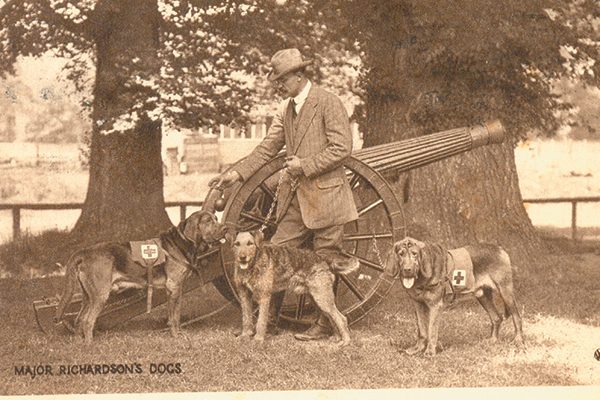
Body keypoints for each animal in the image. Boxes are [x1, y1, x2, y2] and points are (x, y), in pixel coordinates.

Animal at [54, 209, 226, 344]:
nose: (225, 228)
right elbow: (174, 317)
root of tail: (85, 252)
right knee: (88, 321)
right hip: (100, 295)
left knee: (79, 320)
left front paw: (176, 333)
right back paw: (90, 344)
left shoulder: (175, 290)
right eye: (208, 221)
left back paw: (79, 343)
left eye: (216, 219)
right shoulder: (174, 287)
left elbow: (174, 315)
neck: (182, 242)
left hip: (87, 297)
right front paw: (176, 337)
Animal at [392, 236, 524, 354]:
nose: (407, 270)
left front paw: (429, 352)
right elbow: (422, 330)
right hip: (483, 295)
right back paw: (492, 340)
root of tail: (500, 249)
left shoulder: (435, 306)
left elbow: (431, 330)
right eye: (400, 254)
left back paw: (518, 340)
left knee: (516, 317)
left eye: (414, 254)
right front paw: (417, 349)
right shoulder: (418, 304)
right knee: (496, 318)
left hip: (505, 291)